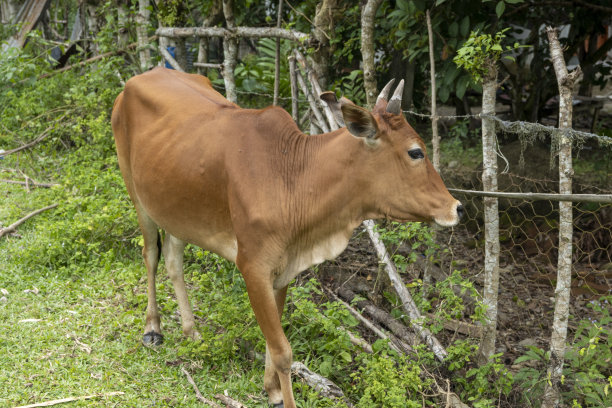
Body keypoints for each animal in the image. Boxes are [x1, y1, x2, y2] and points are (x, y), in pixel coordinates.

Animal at [111, 67, 464, 408]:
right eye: (416, 152)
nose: (457, 208)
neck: (293, 178)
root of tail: (138, 79)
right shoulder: (253, 267)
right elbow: (282, 351)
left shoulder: (283, 269)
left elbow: (273, 342)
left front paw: (273, 392)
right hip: (135, 193)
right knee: (151, 256)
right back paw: (153, 329)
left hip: (175, 208)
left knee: (173, 260)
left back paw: (191, 331)